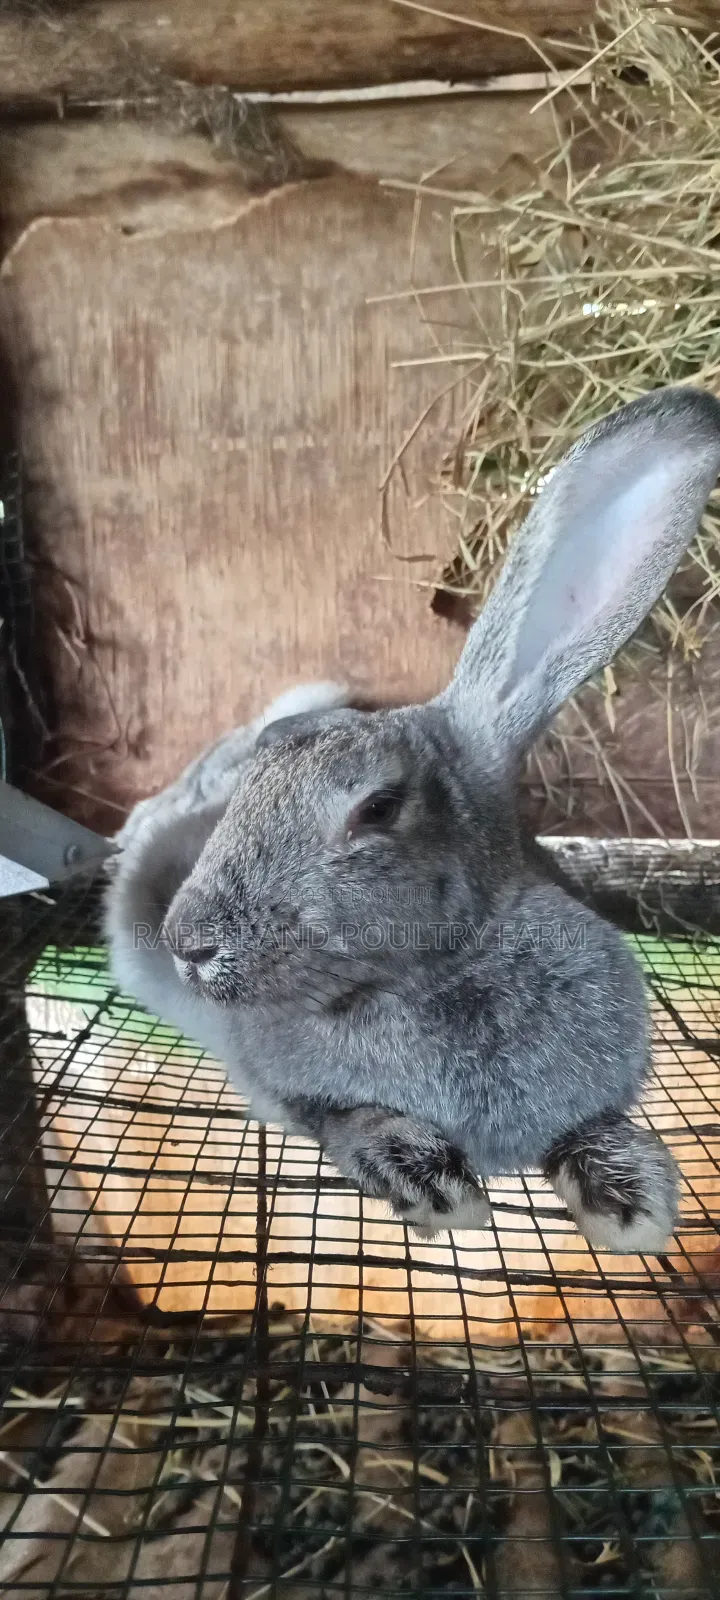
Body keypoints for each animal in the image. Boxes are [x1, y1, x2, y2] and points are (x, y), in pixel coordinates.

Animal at [105, 386, 720, 1255]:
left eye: (378, 807)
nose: (186, 944)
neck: (442, 974)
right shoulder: (286, 1086)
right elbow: (344, 1118)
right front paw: (432, 1181)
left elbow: (594, 1127)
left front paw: (632, 1200)